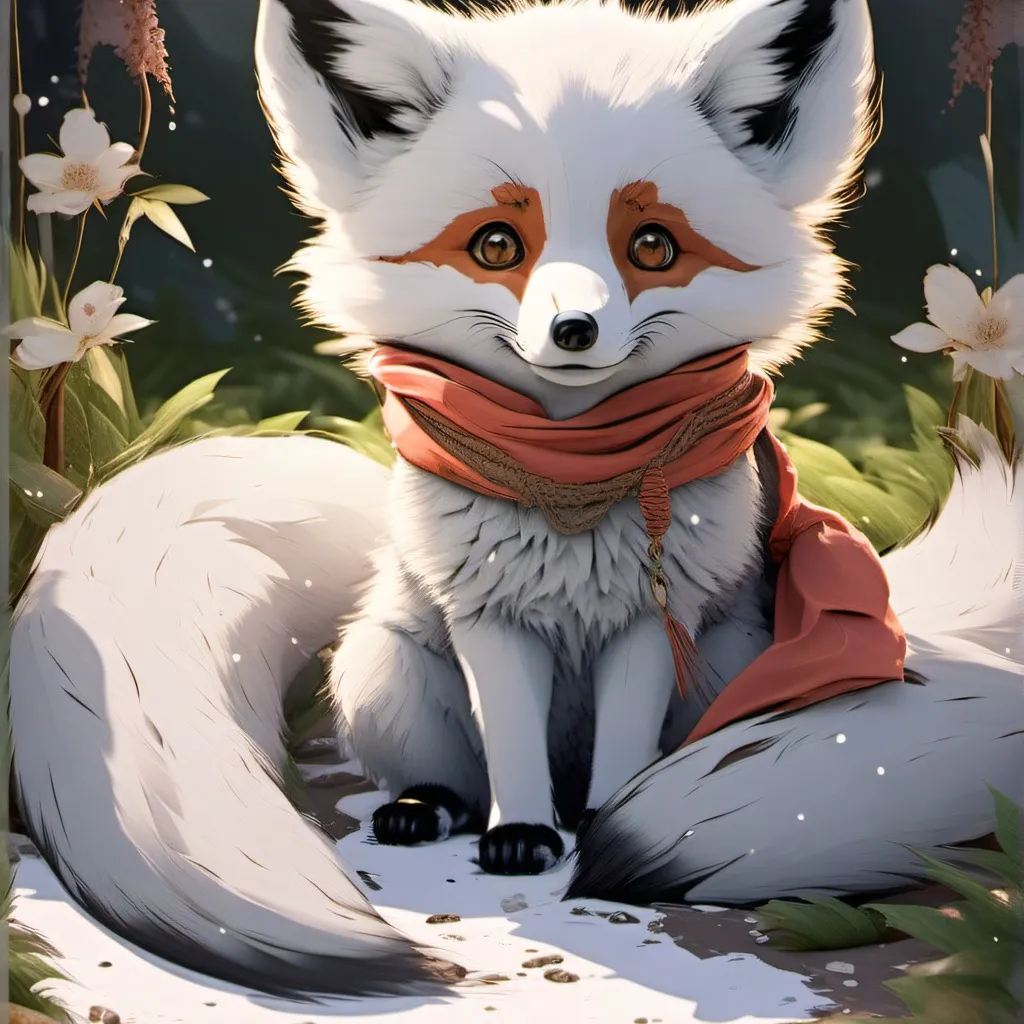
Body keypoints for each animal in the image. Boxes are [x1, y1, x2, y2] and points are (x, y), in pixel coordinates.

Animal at [10, 0, 1024, 1004]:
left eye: (652, 245)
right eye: (497, 244)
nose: (573, 331)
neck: (571, 481)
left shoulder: (649, 625)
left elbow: (624, 756)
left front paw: (603, 821)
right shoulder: (489, 618)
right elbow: (510, 748)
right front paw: (522, 836)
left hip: (726, 668)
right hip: (389, 671)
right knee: (445, 775)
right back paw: (424, 810)